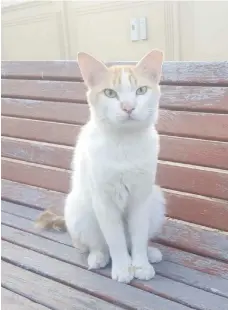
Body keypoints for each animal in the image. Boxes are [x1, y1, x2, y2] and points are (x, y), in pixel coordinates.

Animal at [62, 50, 166, 284]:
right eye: (110, 93)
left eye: (141, 90)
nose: (128, 107)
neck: (125, 143)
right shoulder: (104, 201)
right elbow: (115, 241)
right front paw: (122, 269)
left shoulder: (140, 198)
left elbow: (138, 237)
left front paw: (140, 265)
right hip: (79, 209)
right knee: (99, 244)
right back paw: (98, 257)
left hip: (155, 200)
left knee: (135, 240)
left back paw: (151, 254)